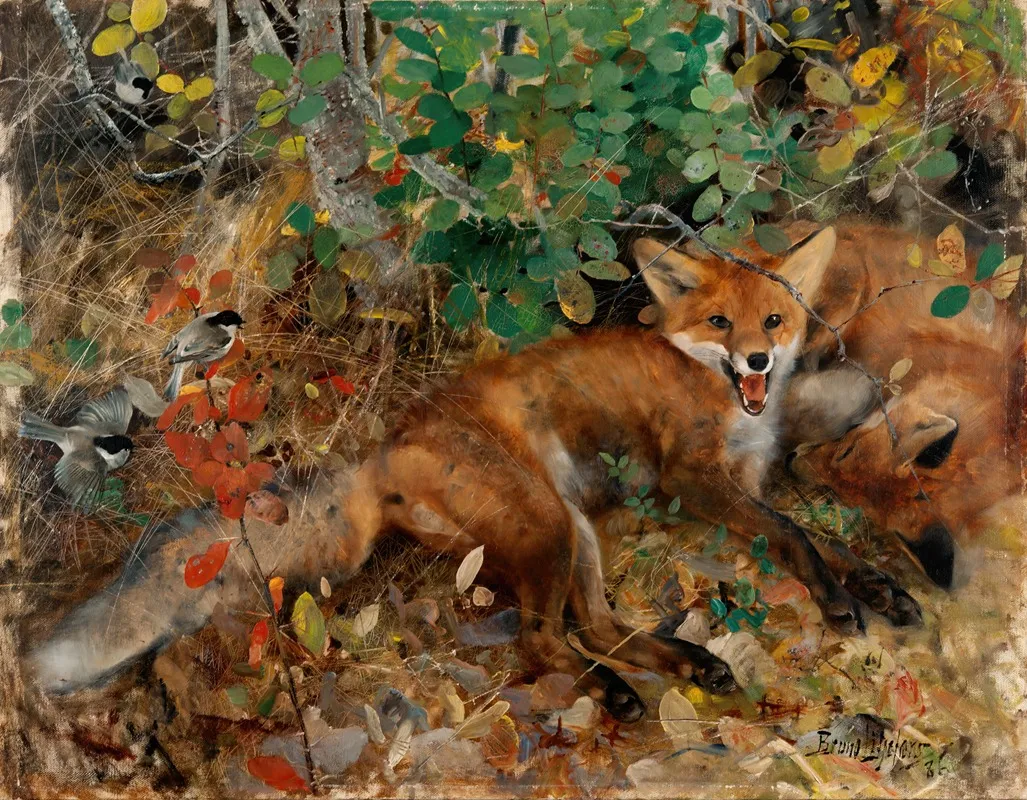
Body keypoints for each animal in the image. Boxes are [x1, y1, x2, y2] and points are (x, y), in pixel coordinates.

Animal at [27, 227, 917, 722]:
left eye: (773, 320)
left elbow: (823, 539)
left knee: (594, 627)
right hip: (549, 526)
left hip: (572, 529)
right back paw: (616, 694)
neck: (723, 397)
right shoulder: (694, 479)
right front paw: (840, 602)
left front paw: (878, 586)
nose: (760, 360)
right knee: (543, 638)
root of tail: (383, 448)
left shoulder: (746, 482)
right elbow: (797, 536)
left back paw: (683, 666)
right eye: (721, 323)